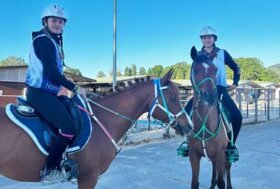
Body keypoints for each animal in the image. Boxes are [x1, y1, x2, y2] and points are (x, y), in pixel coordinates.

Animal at [188, 46, 232, 189]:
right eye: (196, 70)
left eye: (215, 70)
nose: (210, 96)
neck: (204, 124)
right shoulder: (193, 155)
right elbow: (194, 183)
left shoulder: (221, 154)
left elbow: (221, 182)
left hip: (226, 154)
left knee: (228, 169)